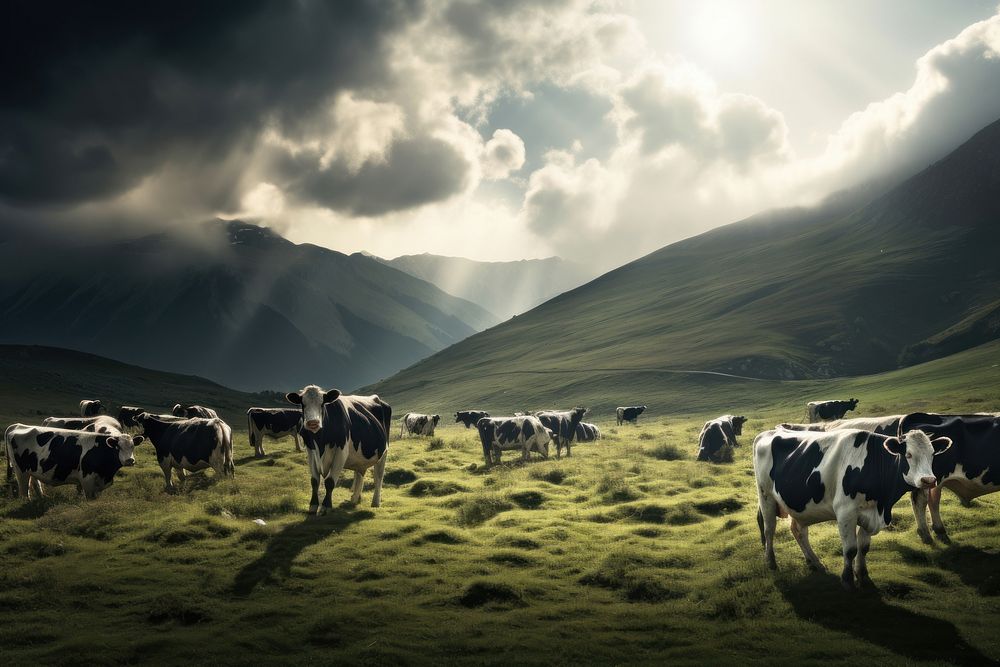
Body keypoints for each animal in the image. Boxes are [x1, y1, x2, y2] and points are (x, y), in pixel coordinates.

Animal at [4, 426, 143, 498]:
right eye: (118, 447)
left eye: (133, 446)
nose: (129, 460)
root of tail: (17, 427)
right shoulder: (87, 480)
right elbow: (89, 499)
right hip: (20, 470)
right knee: (24, 491)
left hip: (33, 469)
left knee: (35, 482)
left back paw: (41, 498)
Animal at [286, 386, 390, 516]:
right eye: (302, 404)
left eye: (322, 404)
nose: (313, 423)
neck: (320, 443)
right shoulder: (310, 451)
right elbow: (314, 481)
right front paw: (313, 506)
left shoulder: (341, 451)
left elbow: (330, 481)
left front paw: (326, 507)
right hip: (360, 458)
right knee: (359, 473)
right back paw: (355, 498)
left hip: (384, 452)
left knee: (378, 476)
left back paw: (375, 502)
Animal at [752, 428, 948, 588]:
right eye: (908, 454)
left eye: (932, 454)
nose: (928, 480)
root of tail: (766, 433)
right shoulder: (845, 512)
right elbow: (850, 549)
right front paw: (847, 579)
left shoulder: (871, 516)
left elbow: (864, 548)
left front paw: (863, 576)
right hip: (766, 496)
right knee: (769, 529)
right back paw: (771, 563)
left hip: (798, 506)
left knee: (798, 531)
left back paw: (814, 562)